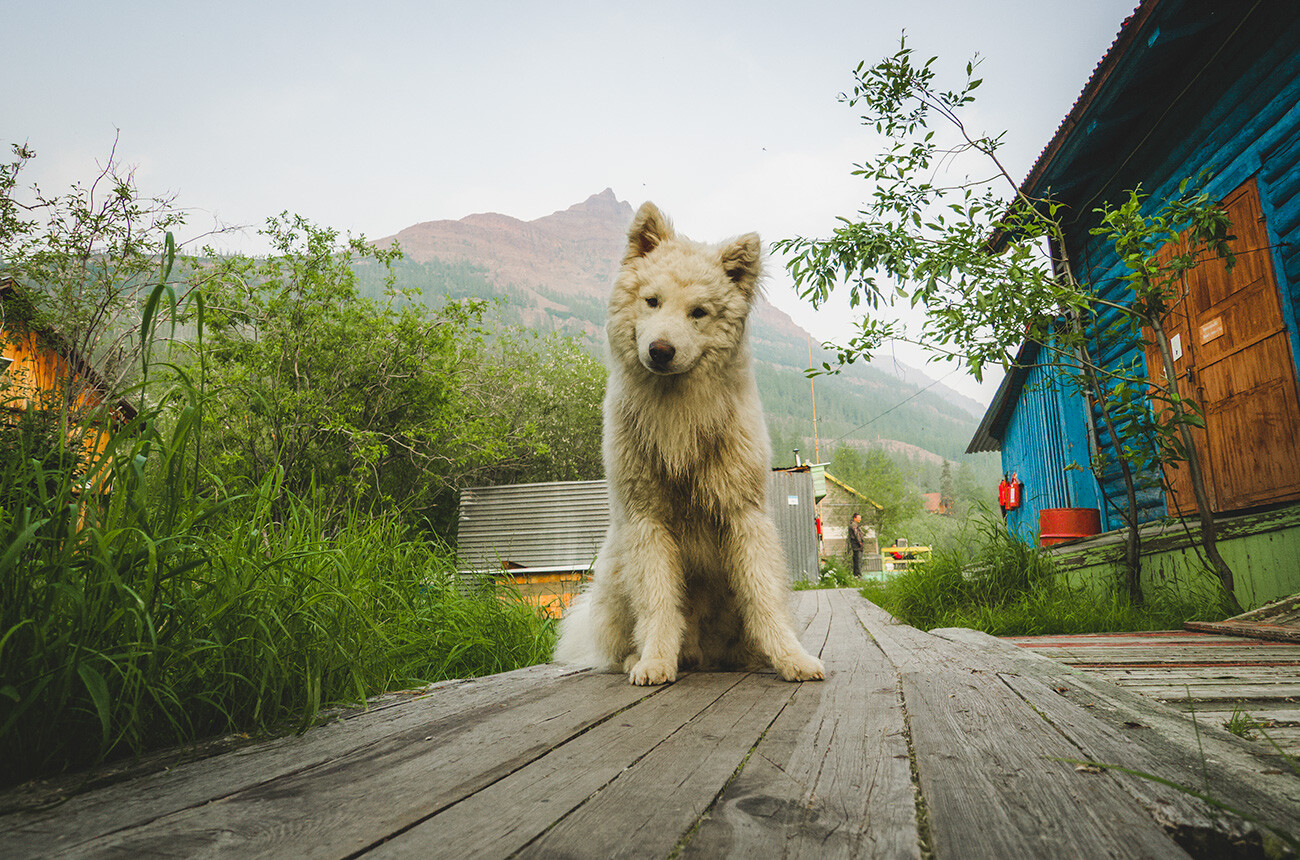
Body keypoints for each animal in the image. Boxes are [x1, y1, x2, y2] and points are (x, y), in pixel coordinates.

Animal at [553, 202, 826, 685]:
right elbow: (659, 602)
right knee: (620, 641)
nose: (660, 350)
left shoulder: (743, 515)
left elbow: (763, 599)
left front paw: (791, 658)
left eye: (698, 312)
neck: (678, 413)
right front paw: (656, 661)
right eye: (652, 301)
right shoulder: (646, 521)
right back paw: (638, 658)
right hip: (616, 567)